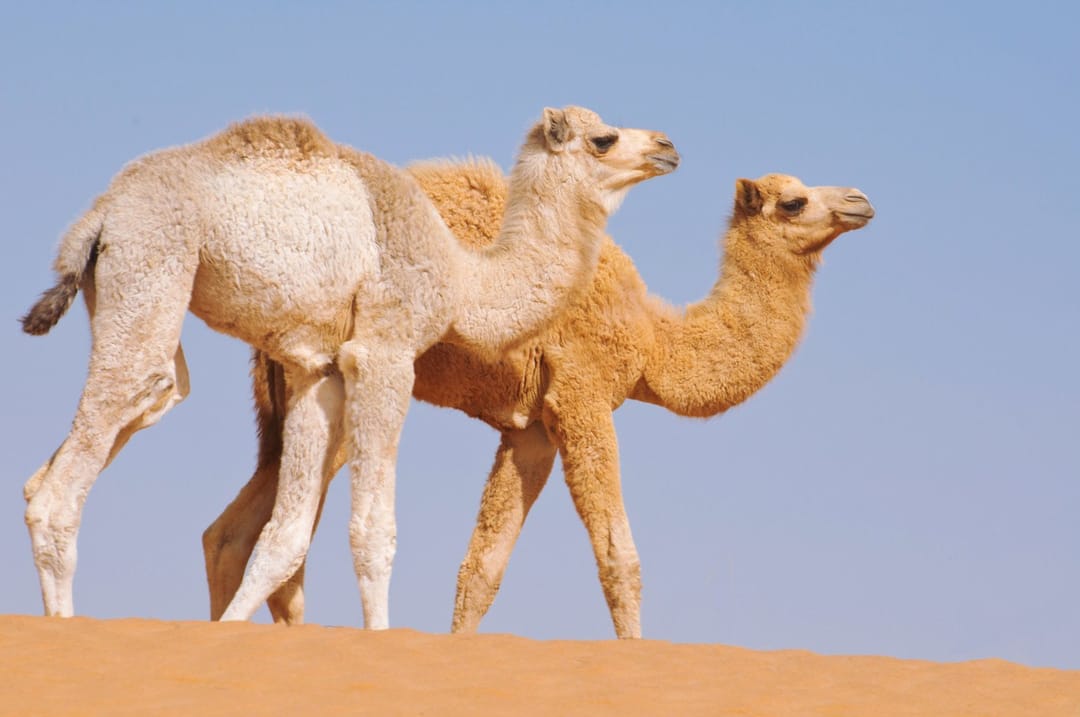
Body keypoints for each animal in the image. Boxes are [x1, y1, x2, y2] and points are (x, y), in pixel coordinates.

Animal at [19, 107, 679, 627]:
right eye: (603, 139)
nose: (667, 146)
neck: (464, 276)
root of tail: (99, 216)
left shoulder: (323, 370)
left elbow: (283, 538)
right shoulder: (385, 351)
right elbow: (373, 532)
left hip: (123, 288)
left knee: (134, 411)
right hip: (152, 258)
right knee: (69, 480)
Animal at [202, 160, 875, 637]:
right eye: (794, 200)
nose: (860, 201)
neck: (653, 339)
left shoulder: (531, 429)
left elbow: (482, 568)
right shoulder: (582, 394)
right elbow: (618, 556)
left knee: (230, 532)